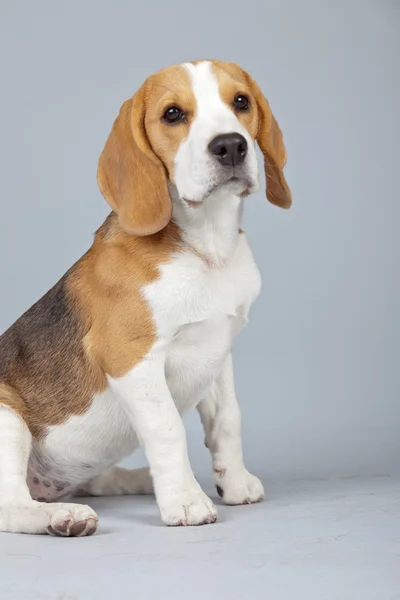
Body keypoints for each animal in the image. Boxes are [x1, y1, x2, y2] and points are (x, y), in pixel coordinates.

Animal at [0, 59, 290, 540]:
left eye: (241, 102)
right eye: (173, 114)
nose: (230, 146)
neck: (206, 247)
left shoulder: (218, 350)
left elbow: (227, 419)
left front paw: (233, 482)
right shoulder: (130, 358)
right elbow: (168, 428)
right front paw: (186, 502)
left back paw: (134, 480)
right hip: (8, 418)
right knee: (10, 505)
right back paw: (64, 516)